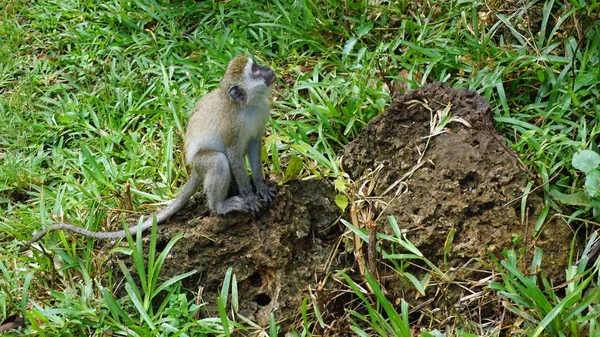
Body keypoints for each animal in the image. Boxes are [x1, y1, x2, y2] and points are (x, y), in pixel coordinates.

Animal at [19, 55, 278, 251]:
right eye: (254, 69)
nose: (268, 69)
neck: (248, 105)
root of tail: (193, 169)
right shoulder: (233, 127)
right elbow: (233, 155)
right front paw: (249, 196)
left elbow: (254, 147)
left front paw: (260, 185)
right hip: (203, 164)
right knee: (218, 161)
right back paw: (220, 206)